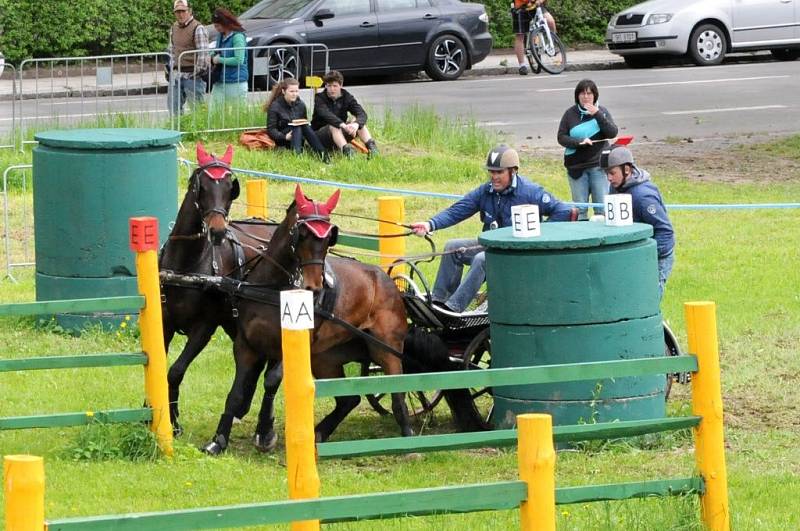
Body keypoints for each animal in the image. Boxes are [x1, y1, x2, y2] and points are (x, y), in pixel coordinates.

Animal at [158, 140, 280, 440]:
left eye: (229, 187)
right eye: (201, 186)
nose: (217, 231)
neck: (187, 266)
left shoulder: (204, 327)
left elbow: (175, 371)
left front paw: (174, 423)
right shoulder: (164, 322)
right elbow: (157, 365)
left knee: (272, 373)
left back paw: (265, 426)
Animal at [202, 185, 412, 456]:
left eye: (329, 238)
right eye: (301, 234)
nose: (314, 286)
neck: (272, 288)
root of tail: (386, 281)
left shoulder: (287, 347)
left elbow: (271, 381)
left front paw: (265, 433)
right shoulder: (245, 346)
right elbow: (236, 393)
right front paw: (218, 440)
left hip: (386, 349)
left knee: (398, 393)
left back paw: (408, 438)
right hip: (325, 358)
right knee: (349, 399)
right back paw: (320, 432)